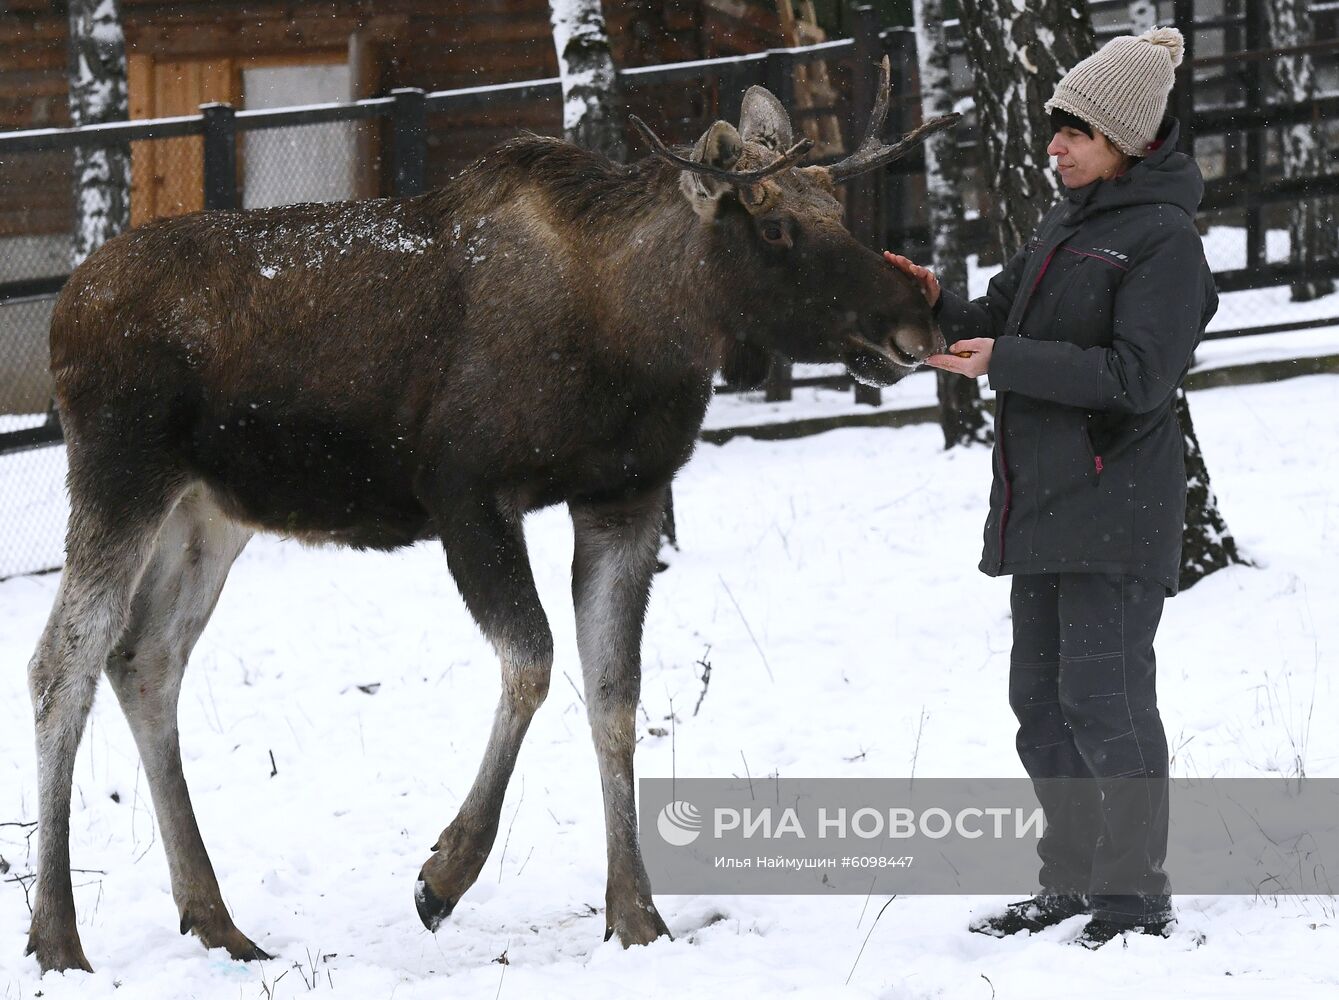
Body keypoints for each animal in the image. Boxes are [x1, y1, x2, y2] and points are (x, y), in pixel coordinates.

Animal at [26, 58, 958, 974]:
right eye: (772, 230)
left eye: (834, 209)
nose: (917, 319)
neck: (641, 337)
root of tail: (63, 310)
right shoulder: (464, 491)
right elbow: (534, 662)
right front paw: (443, 874)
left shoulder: (624, 497)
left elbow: (615, 695)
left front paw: (637, 916)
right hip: (120, 474)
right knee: (61, 661)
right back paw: (59, 938)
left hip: (209, 511)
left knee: (146, 659)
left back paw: (216, 921)